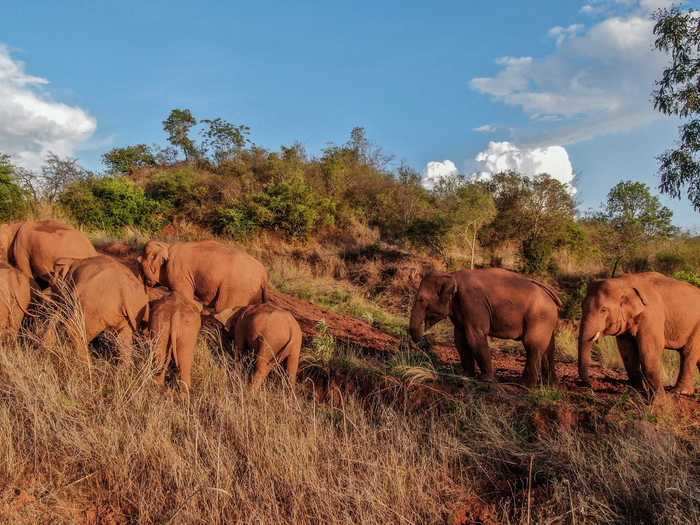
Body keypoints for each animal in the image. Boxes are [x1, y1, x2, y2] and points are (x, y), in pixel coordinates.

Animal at [139, 241, 268, 318]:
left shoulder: (178, 273)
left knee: (223, 309)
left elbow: (184, 296)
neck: (167, 246)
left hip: (236, 289)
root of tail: (264, 274)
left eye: (141, 262)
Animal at [410, 270, 564, 384]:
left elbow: (474, 336)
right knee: (549, 348)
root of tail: (551, 294)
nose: (422, 342)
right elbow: (459, 339)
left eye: (421, 300)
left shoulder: (472, 302)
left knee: (532, 344)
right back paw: (550, 384)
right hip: (547, 320)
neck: (451, 275)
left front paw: (486, 380)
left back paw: (524, 384)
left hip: (539, 316)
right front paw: (466, 375)